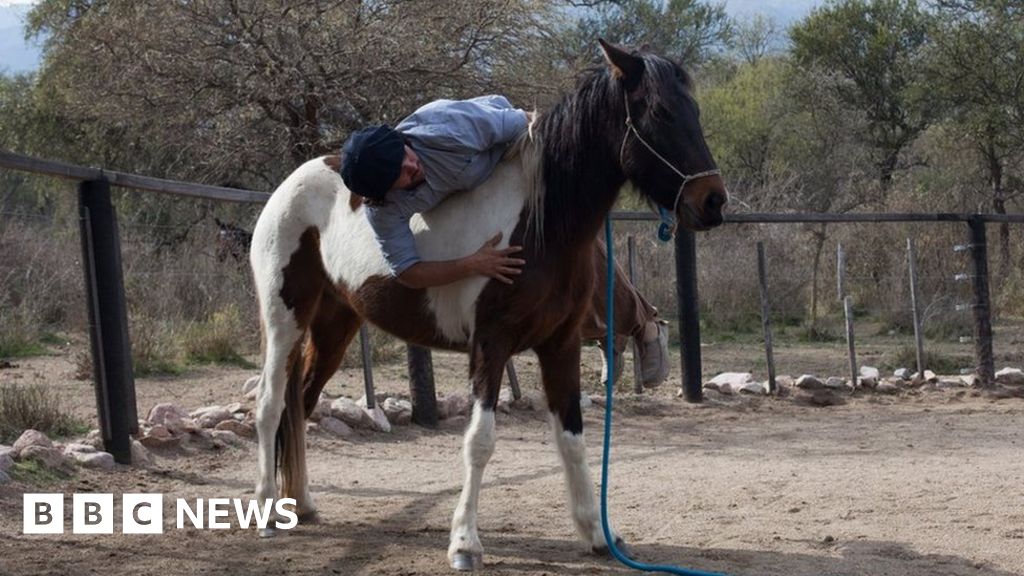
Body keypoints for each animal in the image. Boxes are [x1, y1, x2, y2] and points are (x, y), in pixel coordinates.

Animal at [248, 39, 727, 570]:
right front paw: (464, 543)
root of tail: (289, 186)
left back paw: (302, 504)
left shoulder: (560, 346)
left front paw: (599, 534)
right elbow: (480, 441)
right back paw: (266, 509)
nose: (713, 201)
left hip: (336, 324)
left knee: (302, 401)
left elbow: (573, 439)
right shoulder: (490, 345)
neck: (540, 227)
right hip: (284, 320)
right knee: (270, 403)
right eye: (659, 112)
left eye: (694, 110)